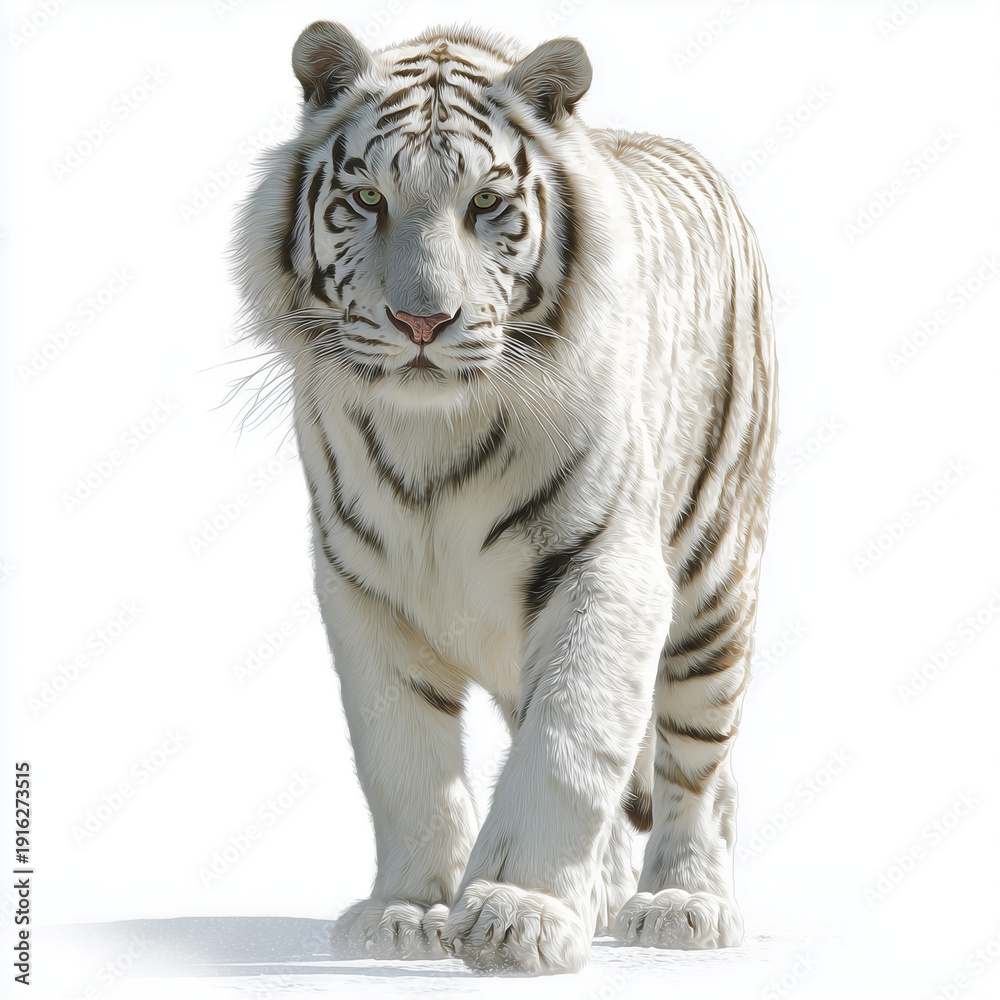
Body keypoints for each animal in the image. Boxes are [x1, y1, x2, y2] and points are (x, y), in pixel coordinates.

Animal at [232, 20, 776, 975]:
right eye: (367, 199)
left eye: (486, 203)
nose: (422, 321)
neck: (432, 434)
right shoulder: (360, 588)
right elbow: (403, 764)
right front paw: (405, 913)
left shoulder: (607, 569)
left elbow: (567, 743)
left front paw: (516, 916)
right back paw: (599, 897)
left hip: (714, 588)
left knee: (696, 765)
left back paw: (683, 903)